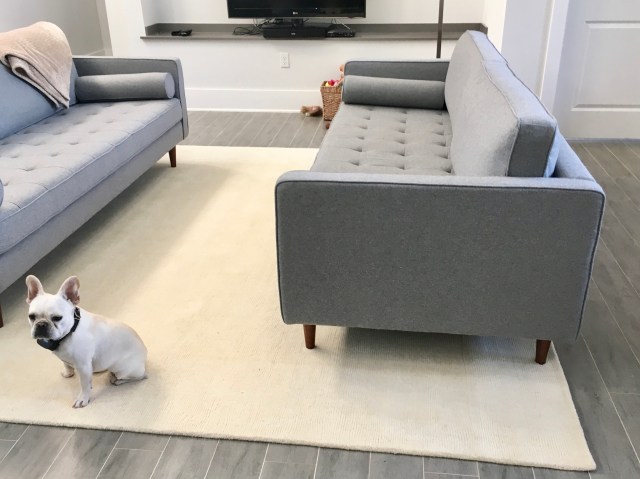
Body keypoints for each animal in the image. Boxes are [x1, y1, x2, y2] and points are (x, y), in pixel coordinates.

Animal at [26, 275, 147, 408]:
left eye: (57, 318)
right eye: (31, 316)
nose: (41, 324)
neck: (68, 333)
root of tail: (144, 355)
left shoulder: (83, 366)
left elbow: (84, 385)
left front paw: (83, 398)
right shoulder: (65, 358)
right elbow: (66, 364)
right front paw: (68, 373)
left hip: (122, 368)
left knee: (140, 376)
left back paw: (118, 380)